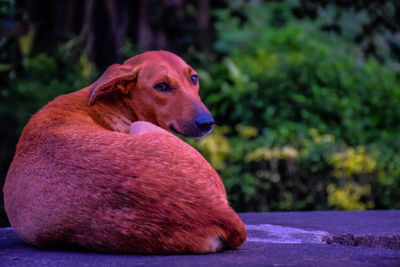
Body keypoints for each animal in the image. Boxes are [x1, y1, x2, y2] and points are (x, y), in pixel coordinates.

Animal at [3, 51, 247, 254]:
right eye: (161, 86)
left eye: (194, 78)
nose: (207, 123)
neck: (112, 101)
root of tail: (217, 211)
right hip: (141, 126)